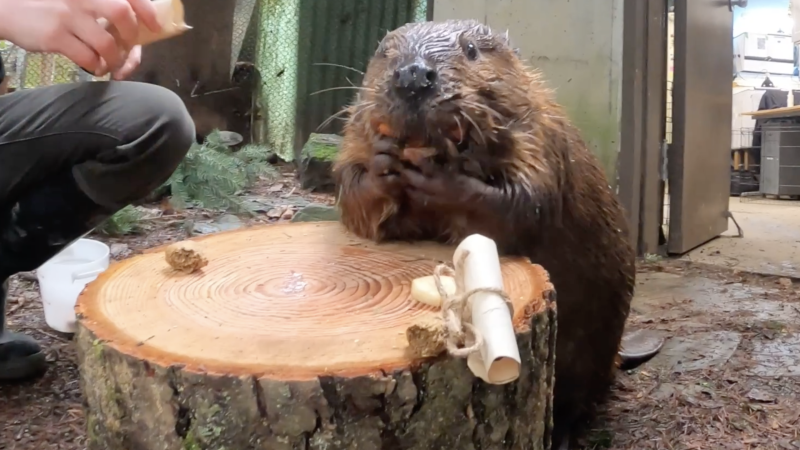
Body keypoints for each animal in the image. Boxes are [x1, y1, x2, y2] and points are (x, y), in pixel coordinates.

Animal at [332, 19, 664, 448]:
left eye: (472, 50)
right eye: (385, 52)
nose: (413, 76)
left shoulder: (539, 135)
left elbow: (524, 202)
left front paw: (440, 177)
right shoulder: (355, 133)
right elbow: (352, 193)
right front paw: (383, 162)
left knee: (581, 396)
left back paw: (565, 432)